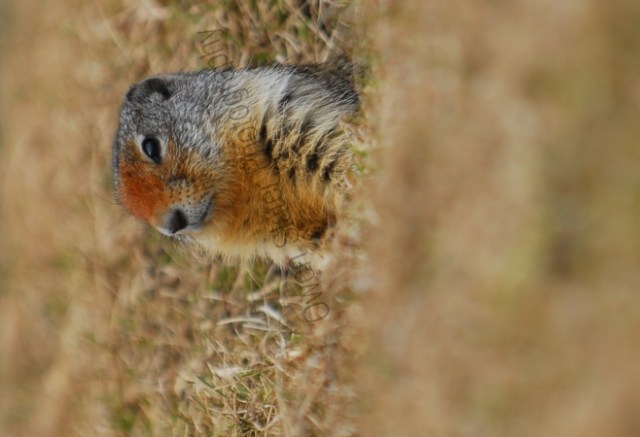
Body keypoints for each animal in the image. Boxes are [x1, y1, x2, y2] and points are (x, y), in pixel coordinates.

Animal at [112, 63, 359, 268]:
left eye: (150, 147)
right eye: (133, 212)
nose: (172, 225)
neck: (237, 187)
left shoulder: (290, 124)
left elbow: (333, 157)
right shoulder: (279, 235)